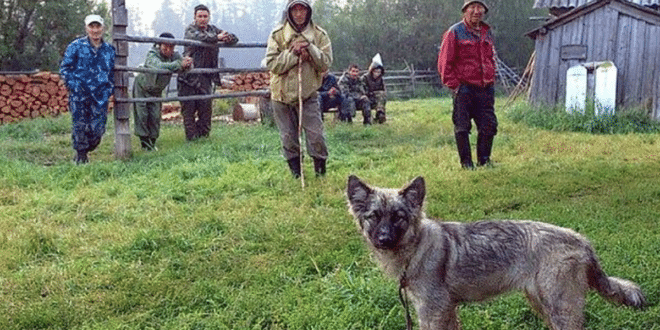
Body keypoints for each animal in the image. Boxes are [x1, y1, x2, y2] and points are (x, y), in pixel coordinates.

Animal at [348, 175, 648, 330]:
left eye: (398, 217)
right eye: (374, 217)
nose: (383, 240)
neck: (417, 247)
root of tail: (581, 240)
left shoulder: (433, 310)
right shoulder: (445, 310)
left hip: (560, 307)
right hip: (542, 303)